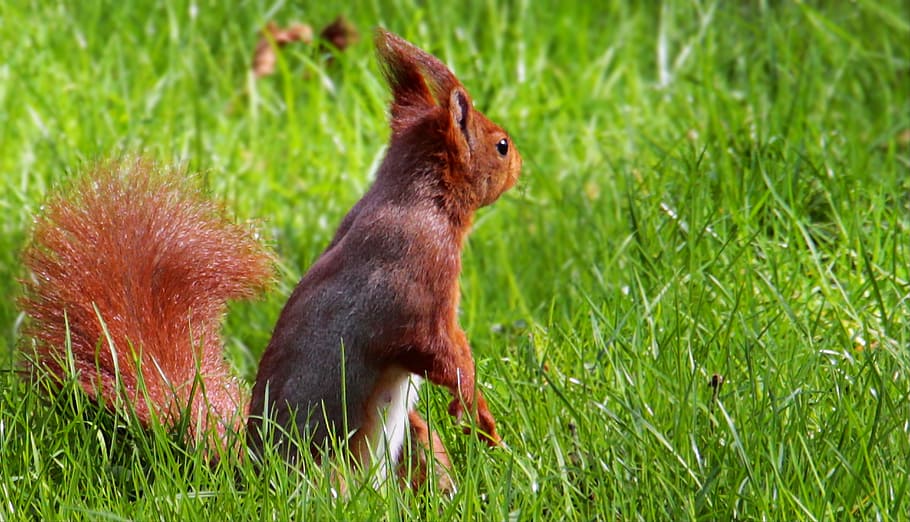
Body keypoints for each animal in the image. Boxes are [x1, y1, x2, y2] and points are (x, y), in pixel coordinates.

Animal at [19, 29, 522, 489]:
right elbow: (441, 351)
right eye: (501, 145)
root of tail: (255, 476)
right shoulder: (418, 276)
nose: (520, 165)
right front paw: (479, 412)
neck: (419, 197)